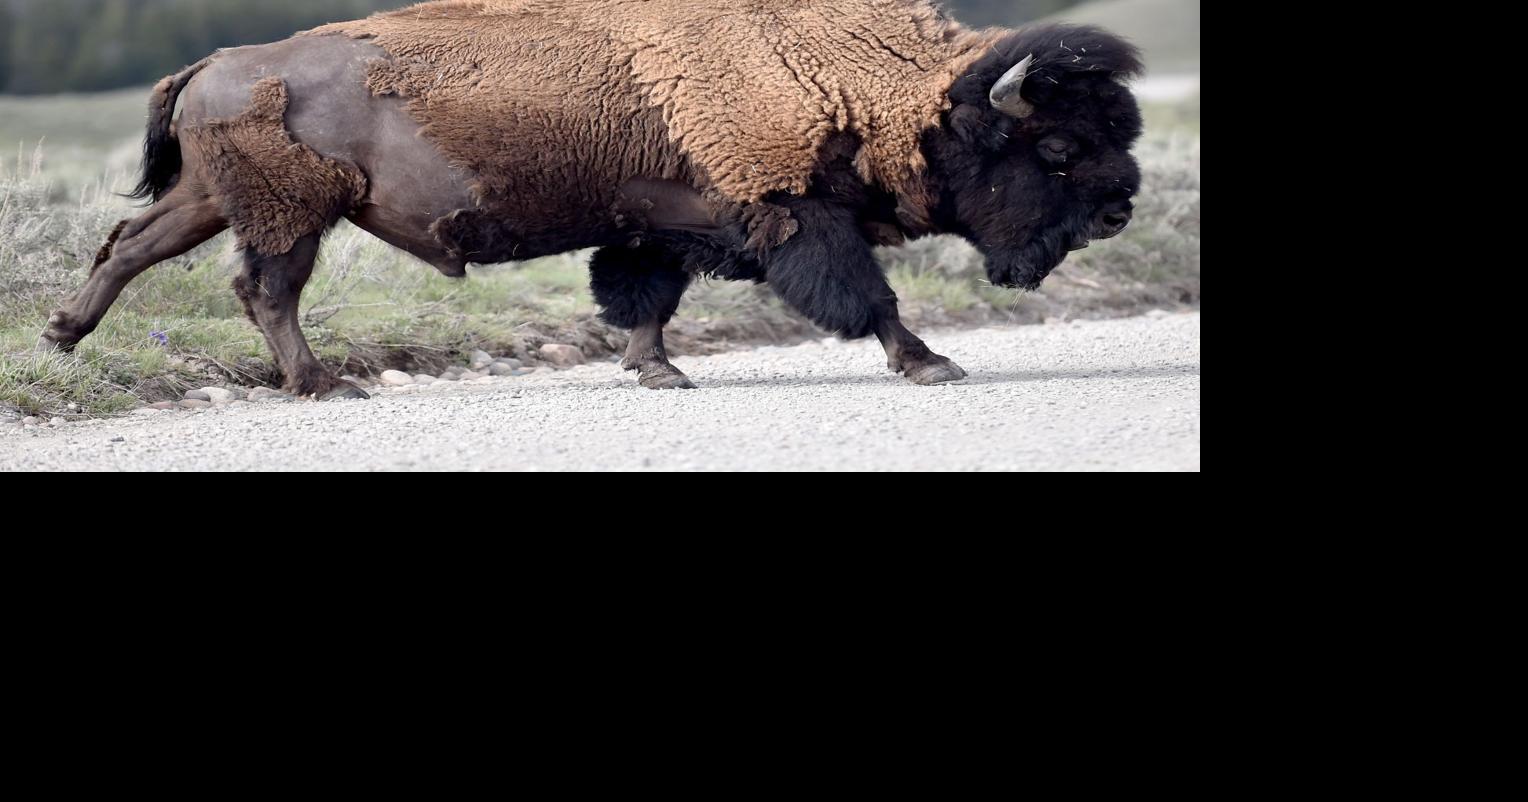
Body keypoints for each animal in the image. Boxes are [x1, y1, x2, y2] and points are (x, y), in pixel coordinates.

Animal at [38, 0, 1144, 397]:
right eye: (1055, 144)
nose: (1119, 210)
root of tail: (213, 62)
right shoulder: (794, 219)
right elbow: (865, 298)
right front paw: (931, 362)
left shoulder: (658, 229)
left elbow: (642, 302)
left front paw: (659, 374)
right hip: (286, 214)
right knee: (266, 290)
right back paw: (322, 384)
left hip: (212, 198)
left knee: (131, 244)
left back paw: (59, 335)